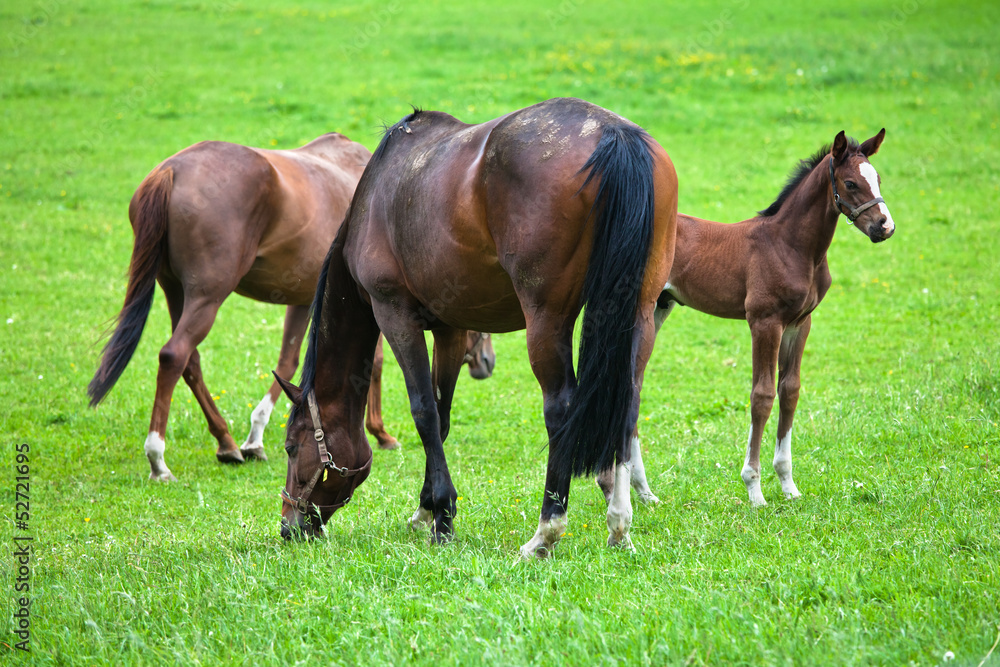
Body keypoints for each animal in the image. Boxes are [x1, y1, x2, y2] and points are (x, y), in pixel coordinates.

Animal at [87, 134, 496, 480]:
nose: (487, 362)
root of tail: (170, 171)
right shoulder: (372, 305)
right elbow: (374, 363)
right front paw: (380, 432)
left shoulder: (304, 301)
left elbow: (288, 361)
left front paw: (255, 435)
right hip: (206, 297)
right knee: (174, 355)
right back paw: (158, 457)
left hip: (176, 291)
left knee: (190, 361)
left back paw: (227, 442)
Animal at [278, 98, 676, 560]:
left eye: (291, 447)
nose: (289, 527)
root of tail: (613, 132)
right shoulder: (451, 329)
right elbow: (442, 416)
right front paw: (427, 509)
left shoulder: (394, 314)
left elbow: (424, 412)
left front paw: (442, 519)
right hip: (638, 317)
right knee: (627, 407)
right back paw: (619, 525)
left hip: (547, 320)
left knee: (560, 408)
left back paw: (546, 531)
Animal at [596, 129, 896, 506]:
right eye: (851, 183)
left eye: (878, 179)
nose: (885, 226)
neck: (792, 245)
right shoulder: (764, 322)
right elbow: (762, 396)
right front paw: (754, 489)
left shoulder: (800, 323)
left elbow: (790, 390)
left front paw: (788, 485)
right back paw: (628, 489)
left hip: (657, 310)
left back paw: (644, 491)